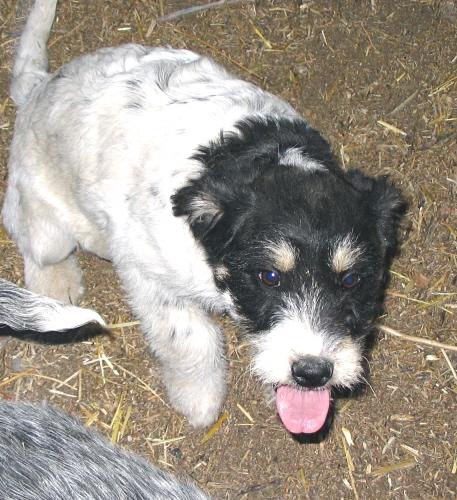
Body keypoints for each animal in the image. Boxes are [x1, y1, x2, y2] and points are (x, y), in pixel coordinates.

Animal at [3, 0, 404, 435]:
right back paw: (56, 287)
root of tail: (38, 87)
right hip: (48, 228)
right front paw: (200, 399)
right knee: (29, 236)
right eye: (269, 276)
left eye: (350, 280)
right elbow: (192, 339)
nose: (313, 373)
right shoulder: (149, 279)